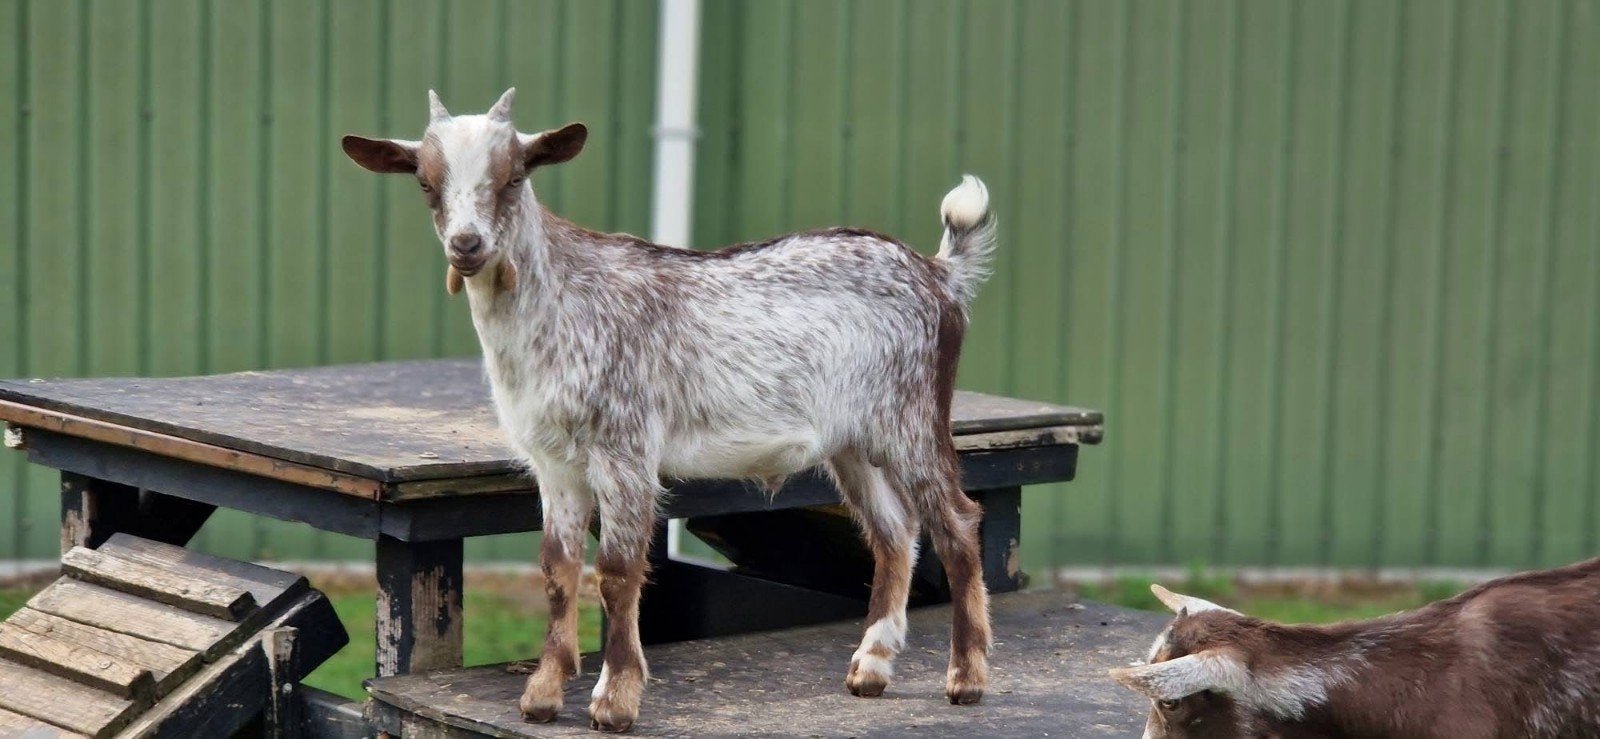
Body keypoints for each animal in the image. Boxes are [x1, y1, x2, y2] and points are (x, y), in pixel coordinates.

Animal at [341, 88, 998, 732]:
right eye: (425, 181)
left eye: (515, 175)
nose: (468, 245)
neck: (561, 304)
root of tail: (939, 274)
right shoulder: (553, 464)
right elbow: (557, 570)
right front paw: (543, 696)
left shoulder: (624, 451)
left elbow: (615, 571)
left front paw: (615, 700)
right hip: (854, 444)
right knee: (894, 532)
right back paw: (871, 668)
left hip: (911, 419)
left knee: (956, 522)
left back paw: (966, 678)